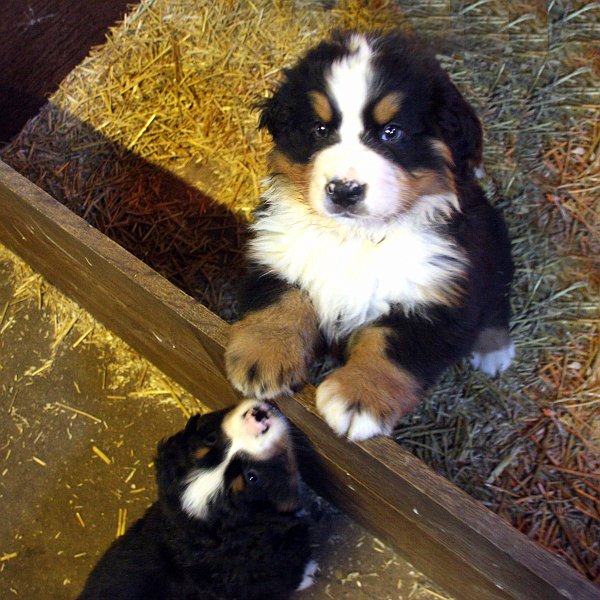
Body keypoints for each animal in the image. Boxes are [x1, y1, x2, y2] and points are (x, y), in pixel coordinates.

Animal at [225, 31, 516, 440]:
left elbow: (392, 345)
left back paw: (495, 351)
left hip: (494, 250)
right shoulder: (276, 247)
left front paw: (360, 396)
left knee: (497, 302)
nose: (344, 190)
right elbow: (281, 298)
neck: (356, 237)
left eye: (391, 132)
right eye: (320, 129)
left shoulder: (437, 295)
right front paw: (263, 353)